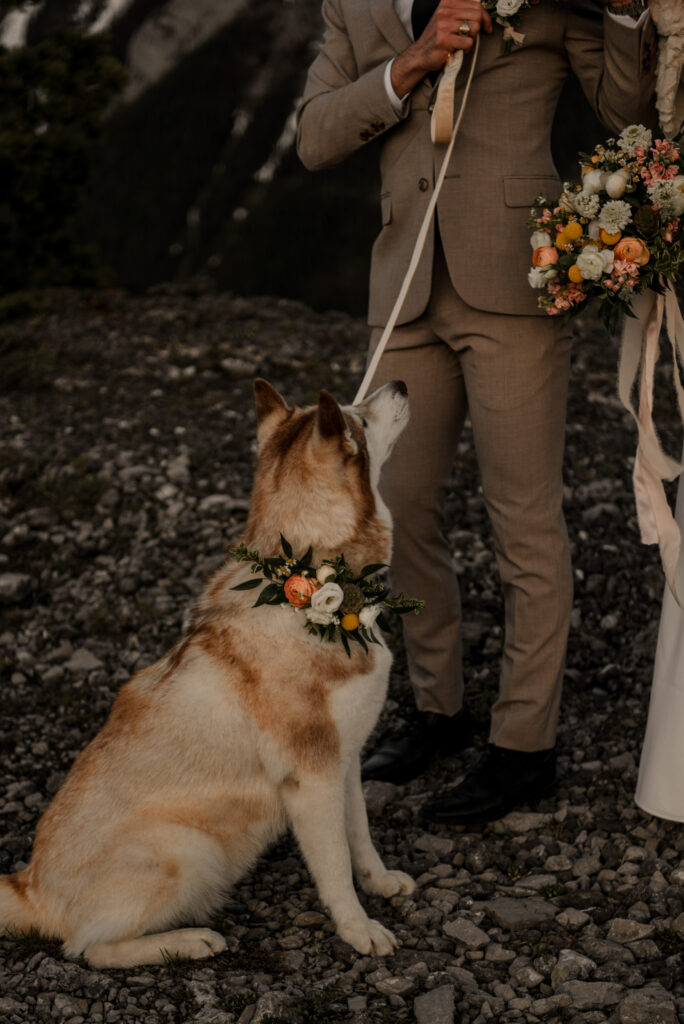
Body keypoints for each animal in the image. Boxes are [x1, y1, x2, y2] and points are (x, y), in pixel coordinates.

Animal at [0, 378, 413, 966]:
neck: (311, 588)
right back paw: (187, 941)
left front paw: (379, 884)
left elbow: (360, 838)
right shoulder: (310, 778)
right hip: (188, 847)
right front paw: (358, 929)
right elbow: (334, 867)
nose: (398, 383)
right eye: (360, 416)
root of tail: (30, 885)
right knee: (86, 949)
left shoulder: (345, 758)